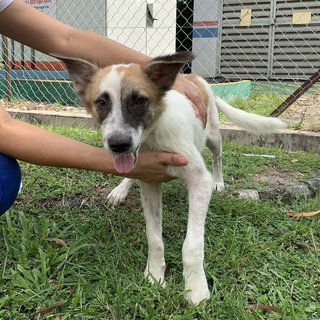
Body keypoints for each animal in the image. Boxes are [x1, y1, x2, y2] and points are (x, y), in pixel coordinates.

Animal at [57, 51, 282, 304]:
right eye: (101, 102)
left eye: (140, 100)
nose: (118, 144)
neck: (153, 138)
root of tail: (194, 77)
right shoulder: (149, 182)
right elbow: (154, 238)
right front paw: (155, 276)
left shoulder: (199, 182)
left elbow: (192, 244)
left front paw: (195, 286)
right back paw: (121, 190)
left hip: (213, 135)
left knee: (217, 157)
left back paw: (219, 181)